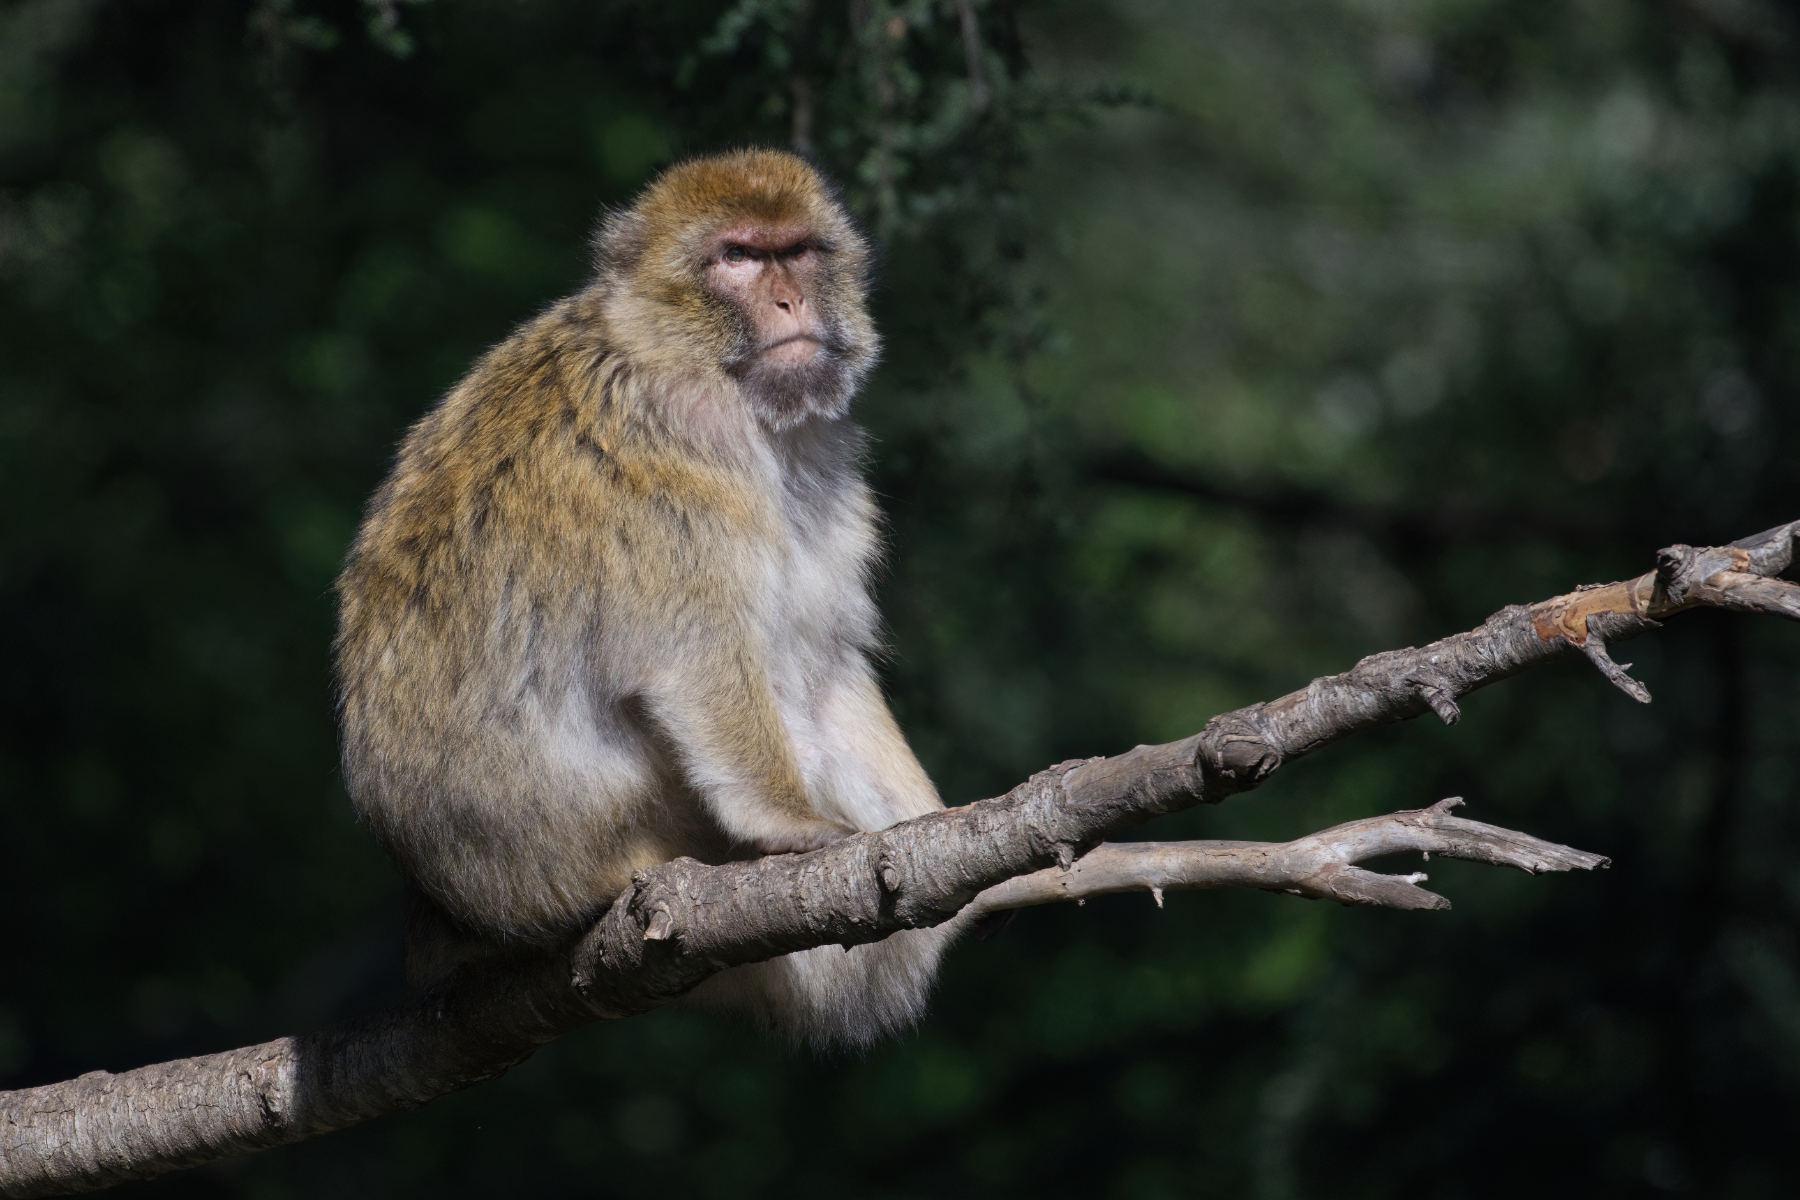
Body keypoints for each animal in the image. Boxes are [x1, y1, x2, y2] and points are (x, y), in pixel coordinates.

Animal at [332, 148, 955, 1047]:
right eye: (737, 256)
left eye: (799, 251)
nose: (789, 300)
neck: (665, 345)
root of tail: (450, 914)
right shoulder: (686, 445)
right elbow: (698, 657)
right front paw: (788, 821)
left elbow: (825, 662)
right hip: (601, 845)